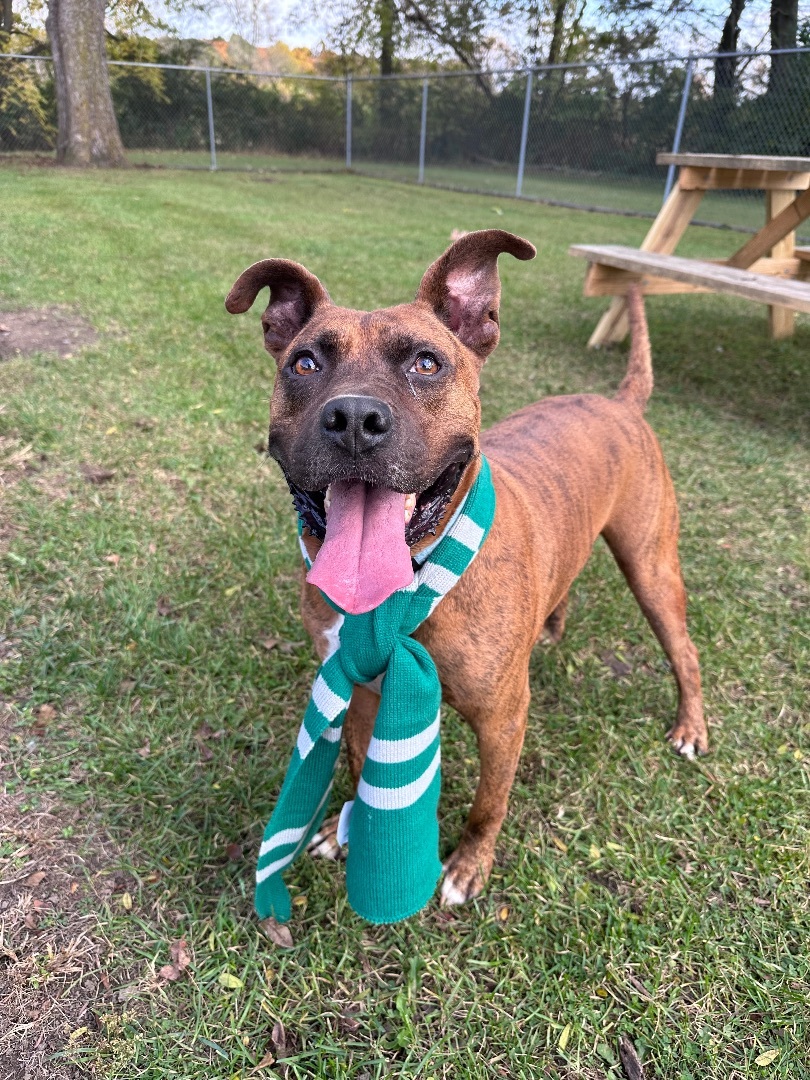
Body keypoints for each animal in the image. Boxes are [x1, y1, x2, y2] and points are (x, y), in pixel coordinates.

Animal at [225, 232, 708, 907]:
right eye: (305, 364)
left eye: (426, 364)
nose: (354, 420)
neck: (405, 586)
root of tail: (618, 404)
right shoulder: (361, 692)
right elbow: (358, 765)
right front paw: (344, 831)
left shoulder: (503, 720)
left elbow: (488, 803)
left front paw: (469, 866)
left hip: (651, 567)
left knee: (683, 650)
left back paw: (691, 726)